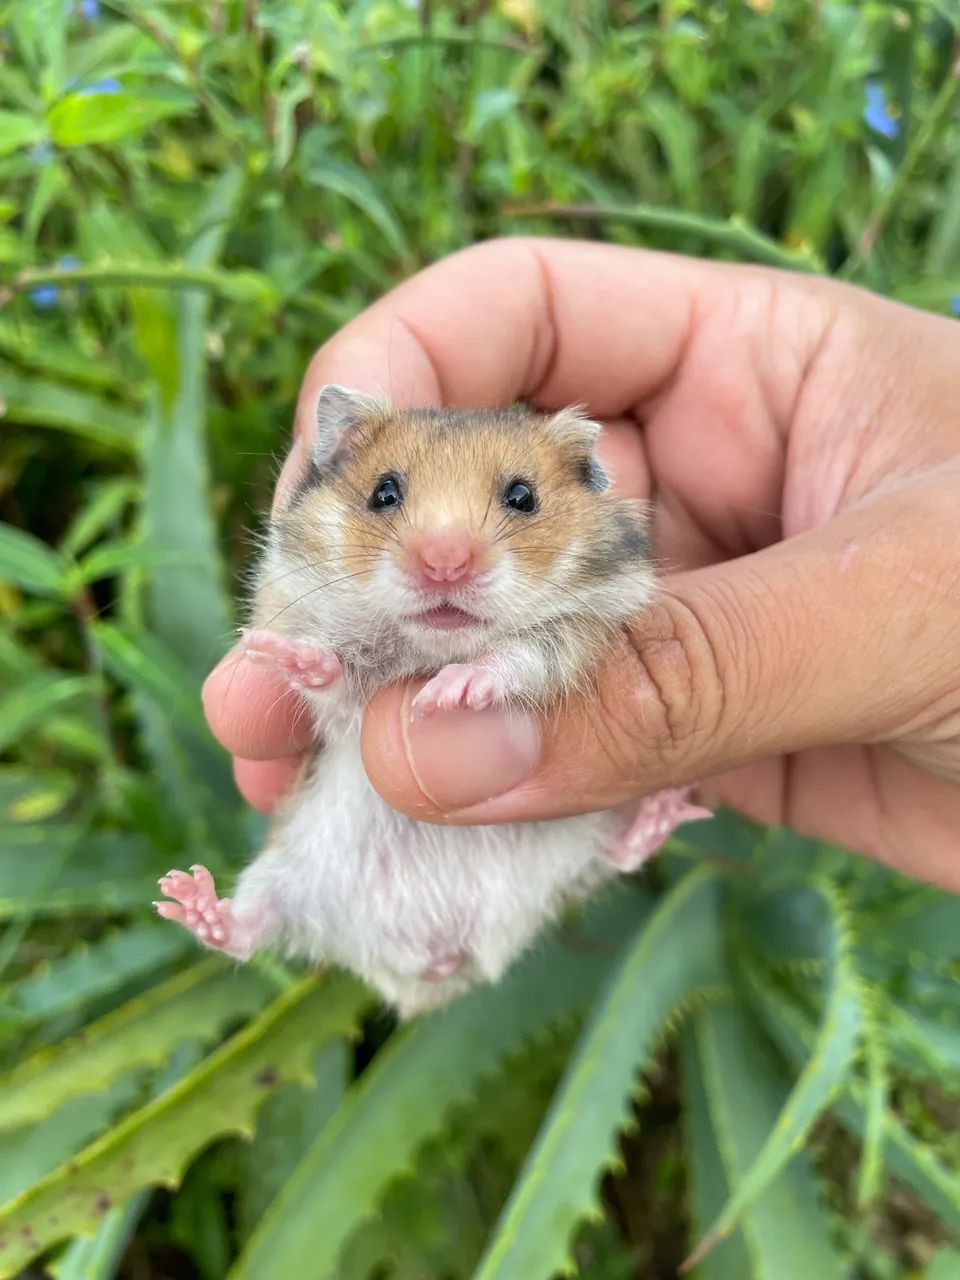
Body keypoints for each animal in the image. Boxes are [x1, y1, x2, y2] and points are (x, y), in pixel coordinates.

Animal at [156, 387, 709, 1017]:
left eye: (523, 496)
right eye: (384, 492)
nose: (444, 562)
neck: (430, 646)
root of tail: (437, 970)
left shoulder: (587, 630)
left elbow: (518, 656)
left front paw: (448, 692)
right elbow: (337, 682)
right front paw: (285, 654)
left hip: (575, 837)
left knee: (614, 856)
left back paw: (668, 810)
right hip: (283, 874)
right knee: (248, 933)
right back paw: (184, 897)